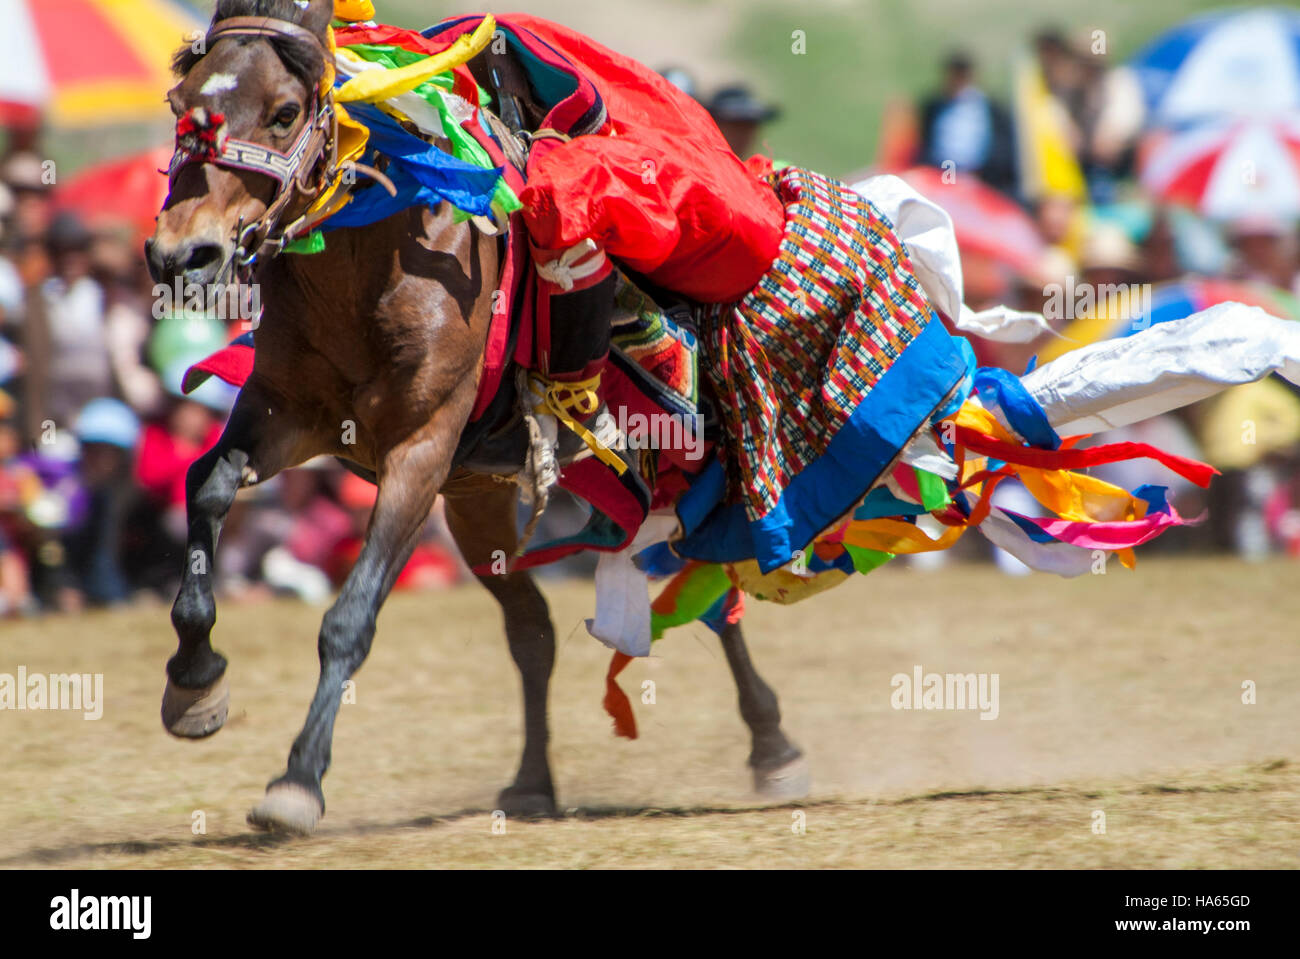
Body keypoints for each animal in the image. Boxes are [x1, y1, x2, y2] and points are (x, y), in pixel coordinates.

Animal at [144, 0, 800, 831]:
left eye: (285, 112)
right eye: (179, 102)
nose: (181, 255)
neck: (374, 260)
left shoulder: (419, 452)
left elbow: (349, 619)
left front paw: (298, 780)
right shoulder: (288, 415)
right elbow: (207, 486)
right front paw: (194, 682)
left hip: (675, 467)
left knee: (714, 594)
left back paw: (773, 745)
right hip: (478, 499)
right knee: (534, 630)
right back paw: (532, 782)